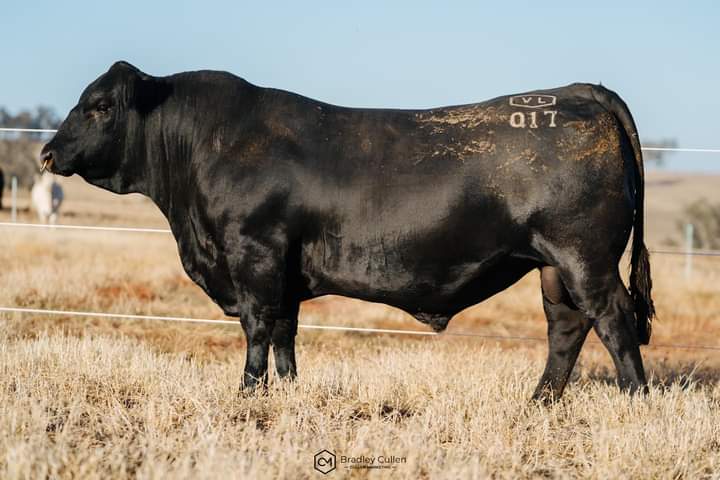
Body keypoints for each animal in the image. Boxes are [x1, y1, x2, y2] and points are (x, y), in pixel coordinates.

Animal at [41, 61, 654, 401]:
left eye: (99, 105)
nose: (47, 153)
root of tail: (576, 89)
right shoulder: (283, 270)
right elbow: (284, 333)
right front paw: (286, 392)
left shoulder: (254, 252)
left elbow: (258, 327)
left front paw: (247, 394)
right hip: (553, 266)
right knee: (567, 328)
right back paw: (539, 402)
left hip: (583, 256)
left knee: (614, 320)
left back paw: (635, 399)